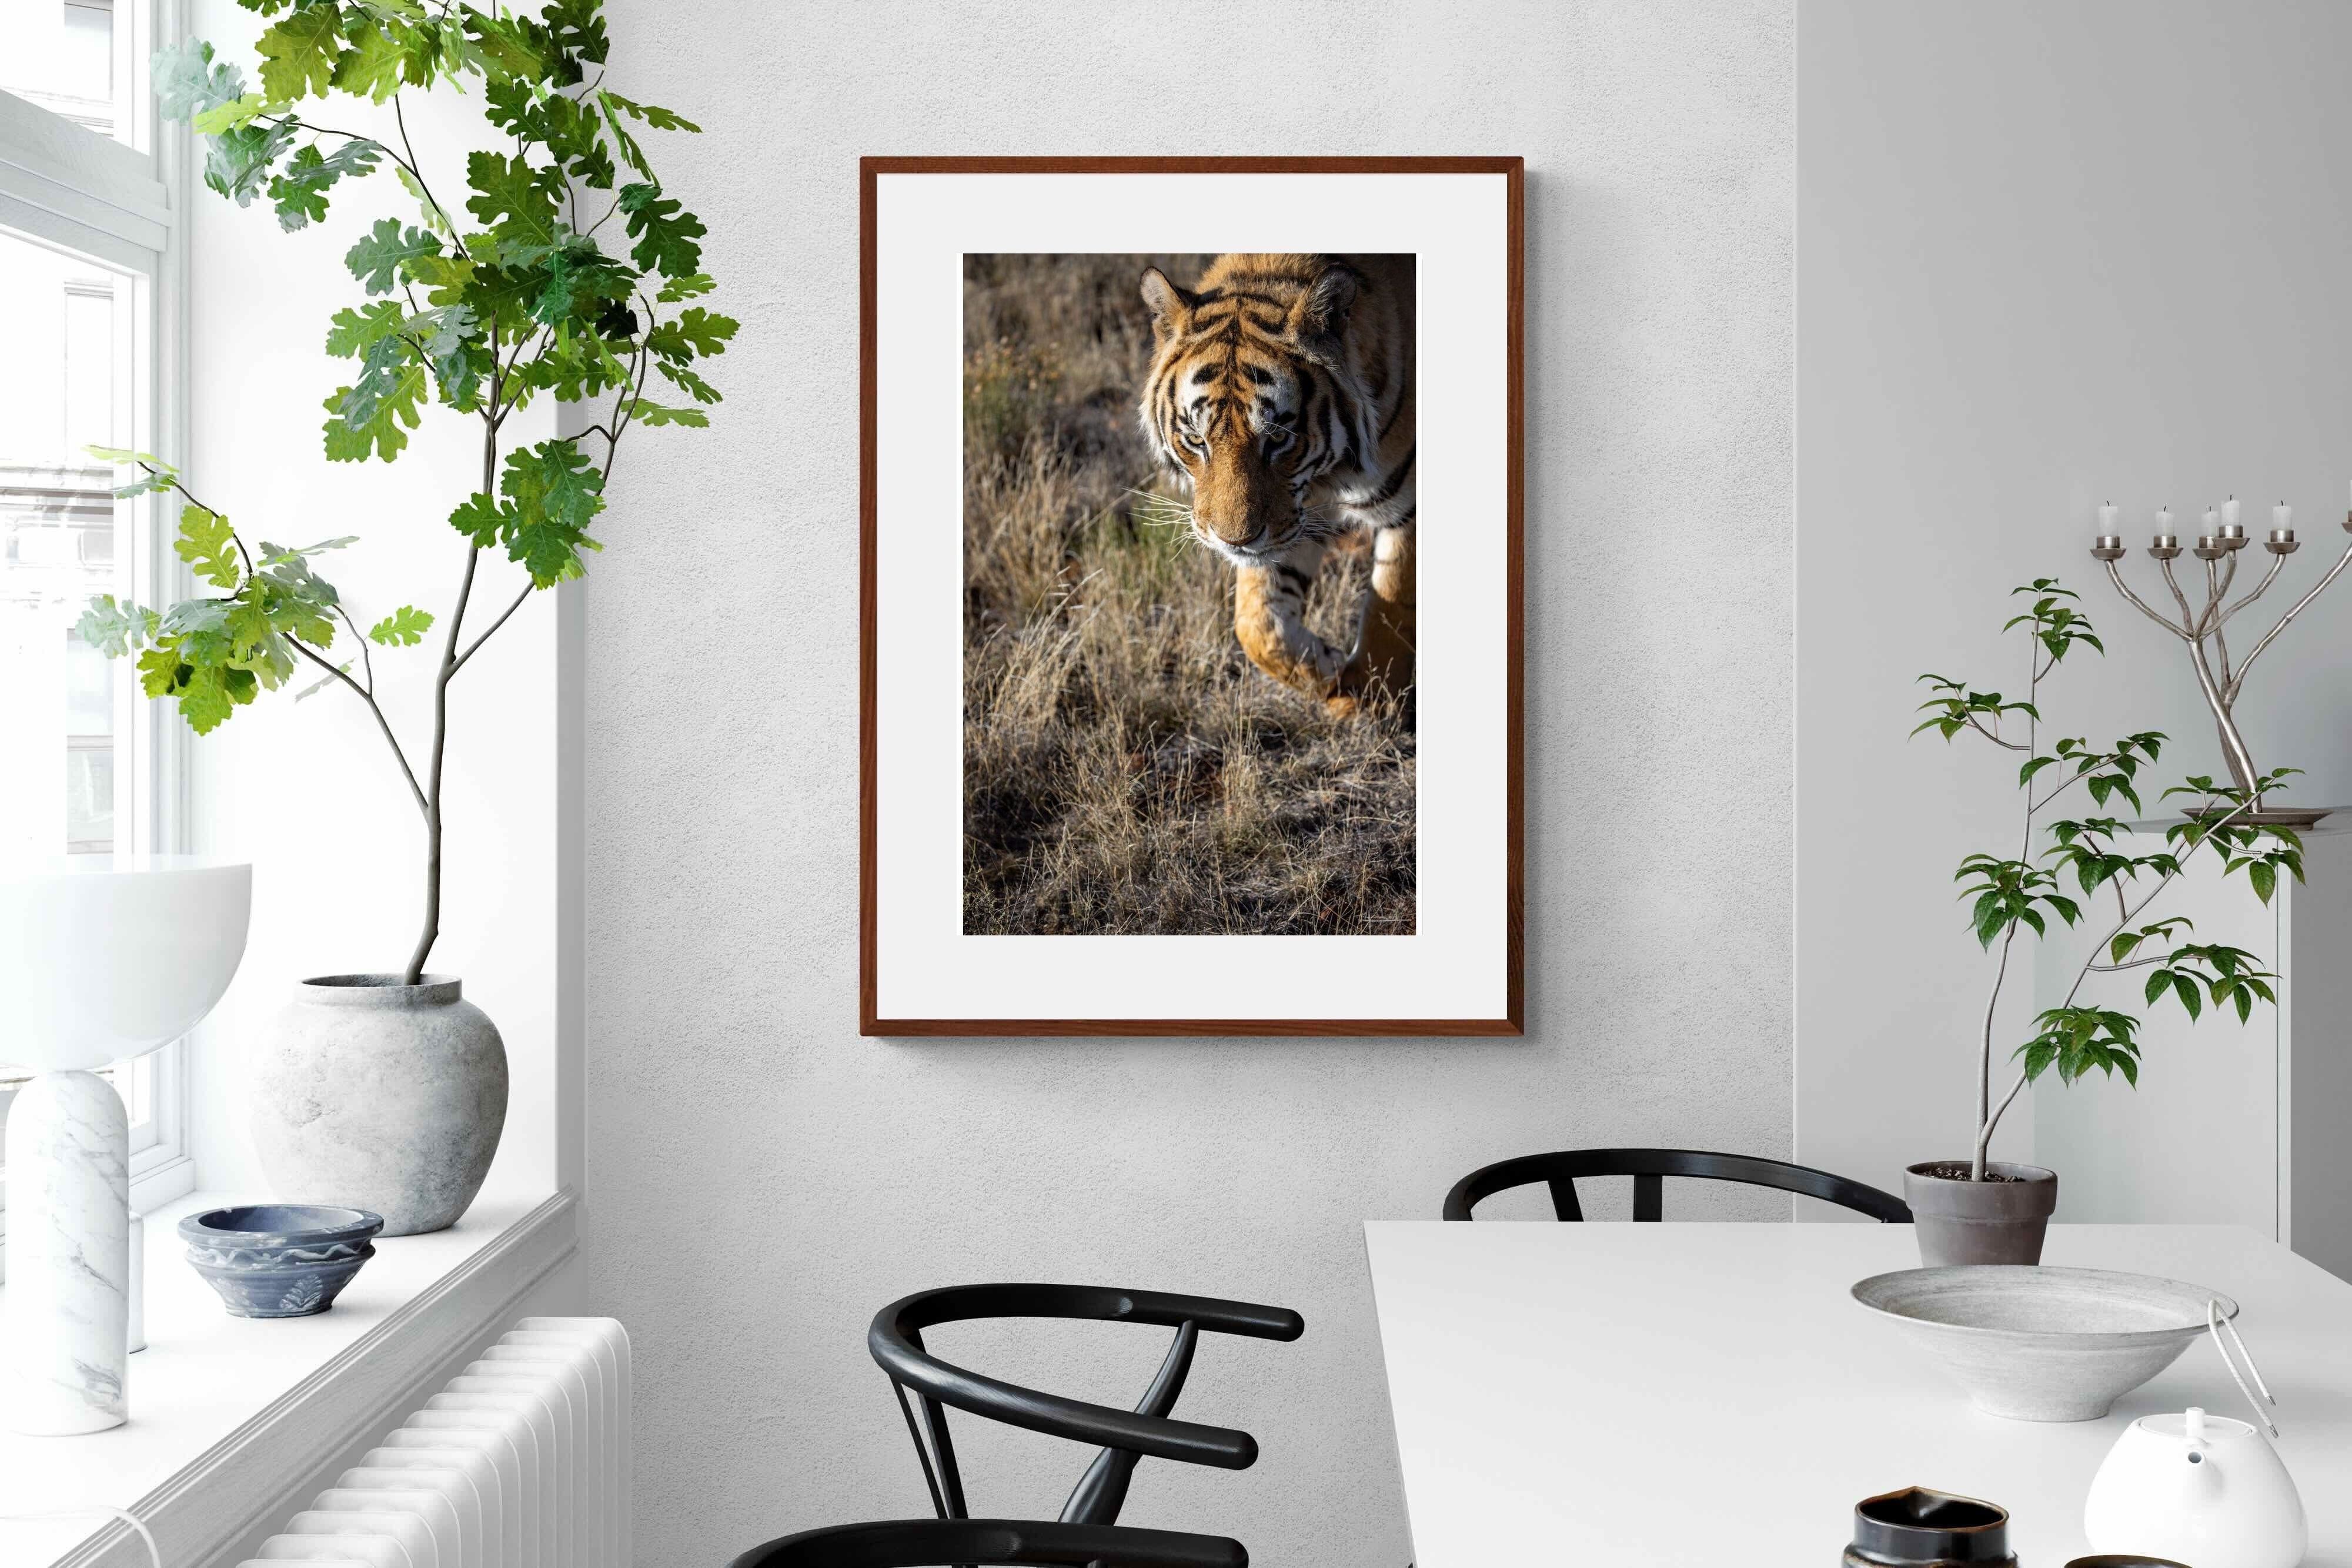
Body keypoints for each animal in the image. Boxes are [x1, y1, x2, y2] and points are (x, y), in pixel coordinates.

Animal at [1138, 253, 1415, 717]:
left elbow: (1390, 607)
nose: (1233, 541)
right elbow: (1257, 625)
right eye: (1196, 439)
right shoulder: (1294, 519)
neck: (1329, 476)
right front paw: (1330, 670)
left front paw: (1370, 699)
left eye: (1278, 437)